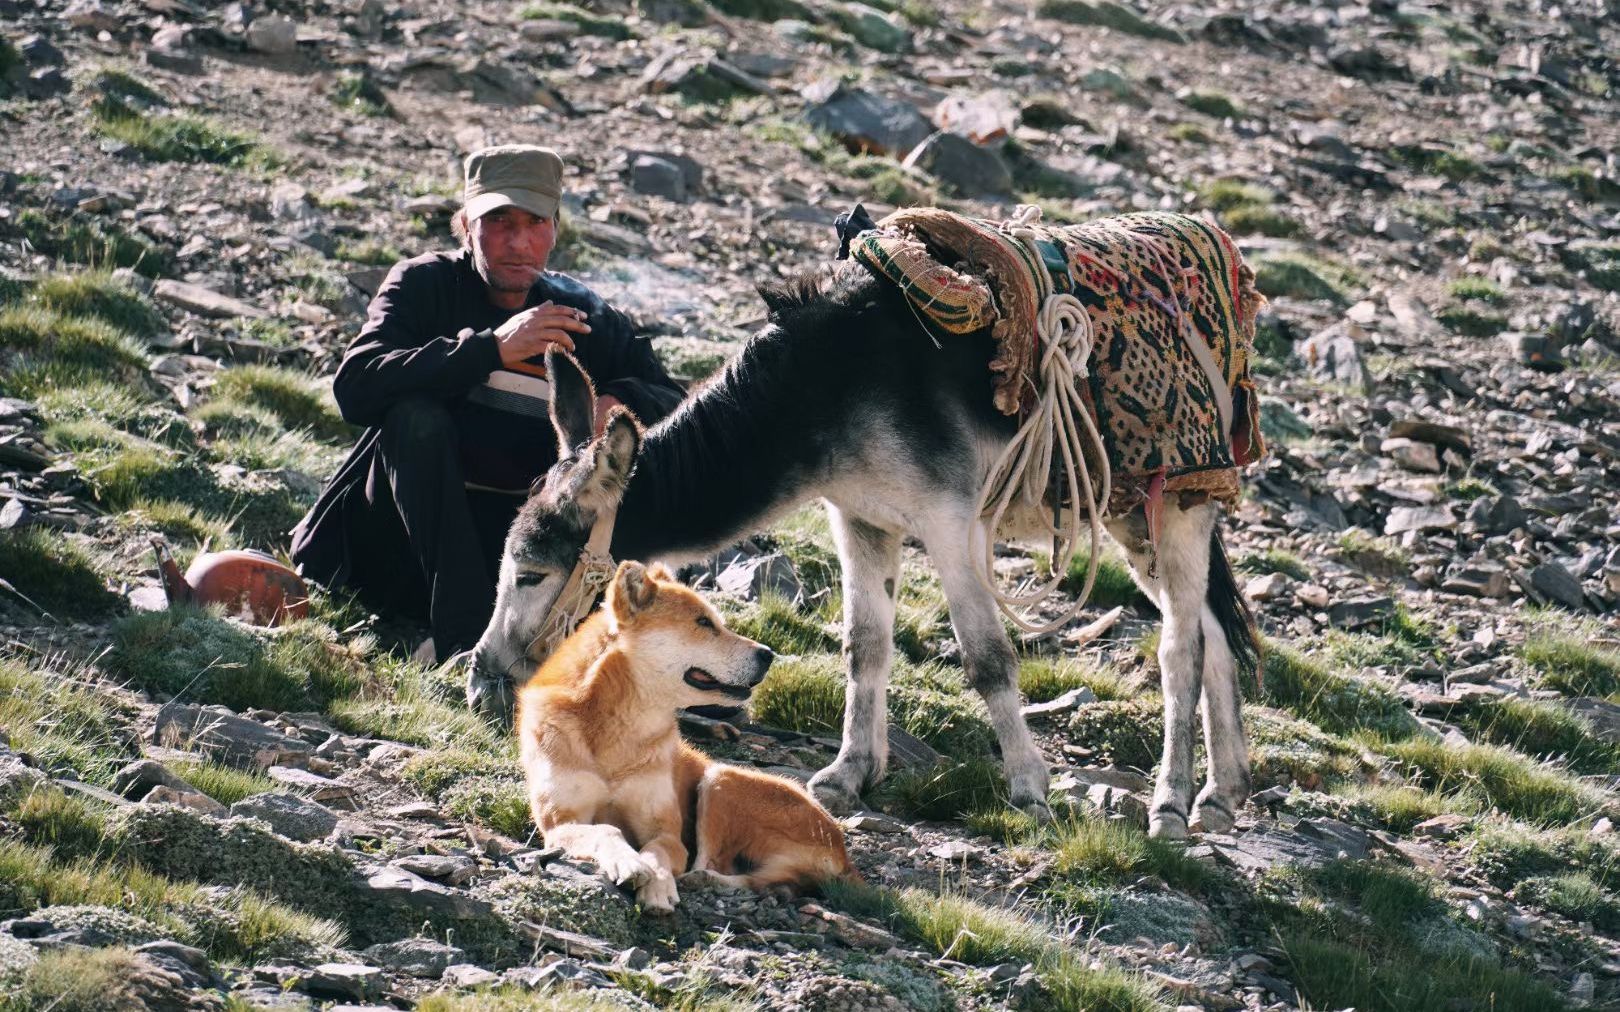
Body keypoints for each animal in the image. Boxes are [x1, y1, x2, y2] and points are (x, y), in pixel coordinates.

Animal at [518, 557, 861, 913]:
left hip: (719, 779)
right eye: (703, 622)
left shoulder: (667, 833)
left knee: (726, 868)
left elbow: (655, 853)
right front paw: (628, 861)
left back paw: (702, 880)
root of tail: (842, 850)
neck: (621, 728)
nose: (769, 654)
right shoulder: (561, 824)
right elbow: (606, 829)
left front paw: (657, 887)